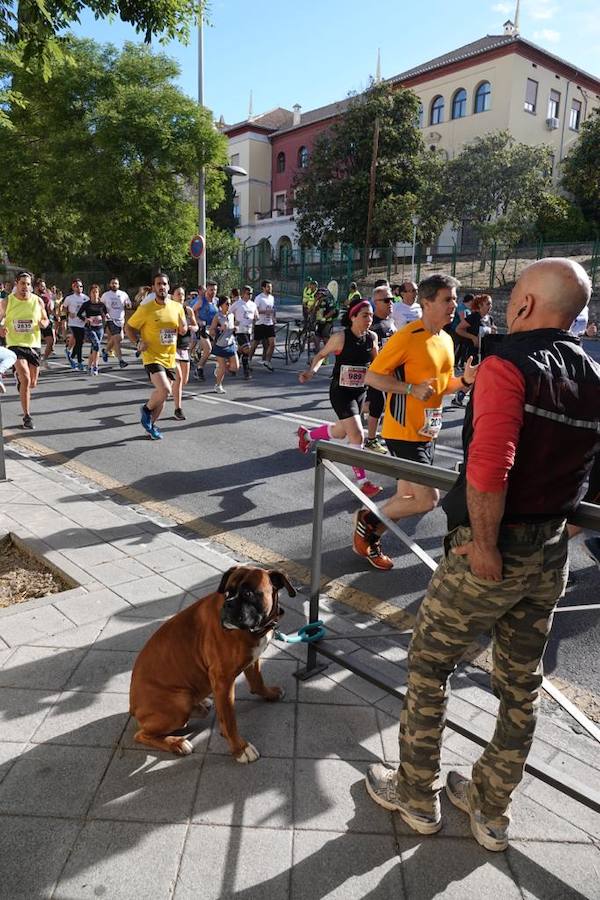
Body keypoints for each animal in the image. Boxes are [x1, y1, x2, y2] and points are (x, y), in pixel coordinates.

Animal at [129, 568, 296, 764]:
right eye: (227, 592)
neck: (255, 631)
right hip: (179, 703)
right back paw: (176, 743)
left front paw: (270, 694)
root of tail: (132, 707)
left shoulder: (252, 660)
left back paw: (201, 704)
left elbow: (257, 682)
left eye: (248, 593)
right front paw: (240, 749)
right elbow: (230, 720)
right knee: (141, 735)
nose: (228, 605)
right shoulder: (223, 680)